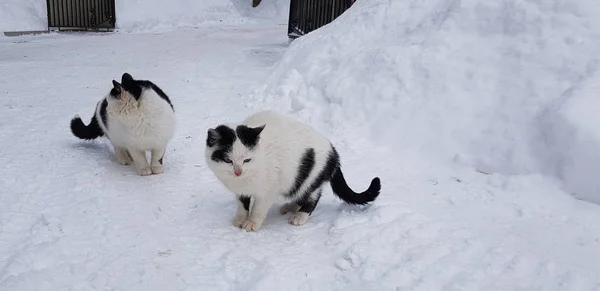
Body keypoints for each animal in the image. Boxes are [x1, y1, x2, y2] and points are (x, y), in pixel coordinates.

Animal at [205, 110, 380, 232]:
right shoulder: (241, 191)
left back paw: (300, 216)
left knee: (313, 197)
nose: (238, 172)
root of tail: (334, 153)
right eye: (228, 160)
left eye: (247, 160)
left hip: (307, 178)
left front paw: (252, 222)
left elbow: (258, 208)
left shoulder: (268, 190)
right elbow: (242, 205)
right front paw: (240, 219)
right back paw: (290, 207)